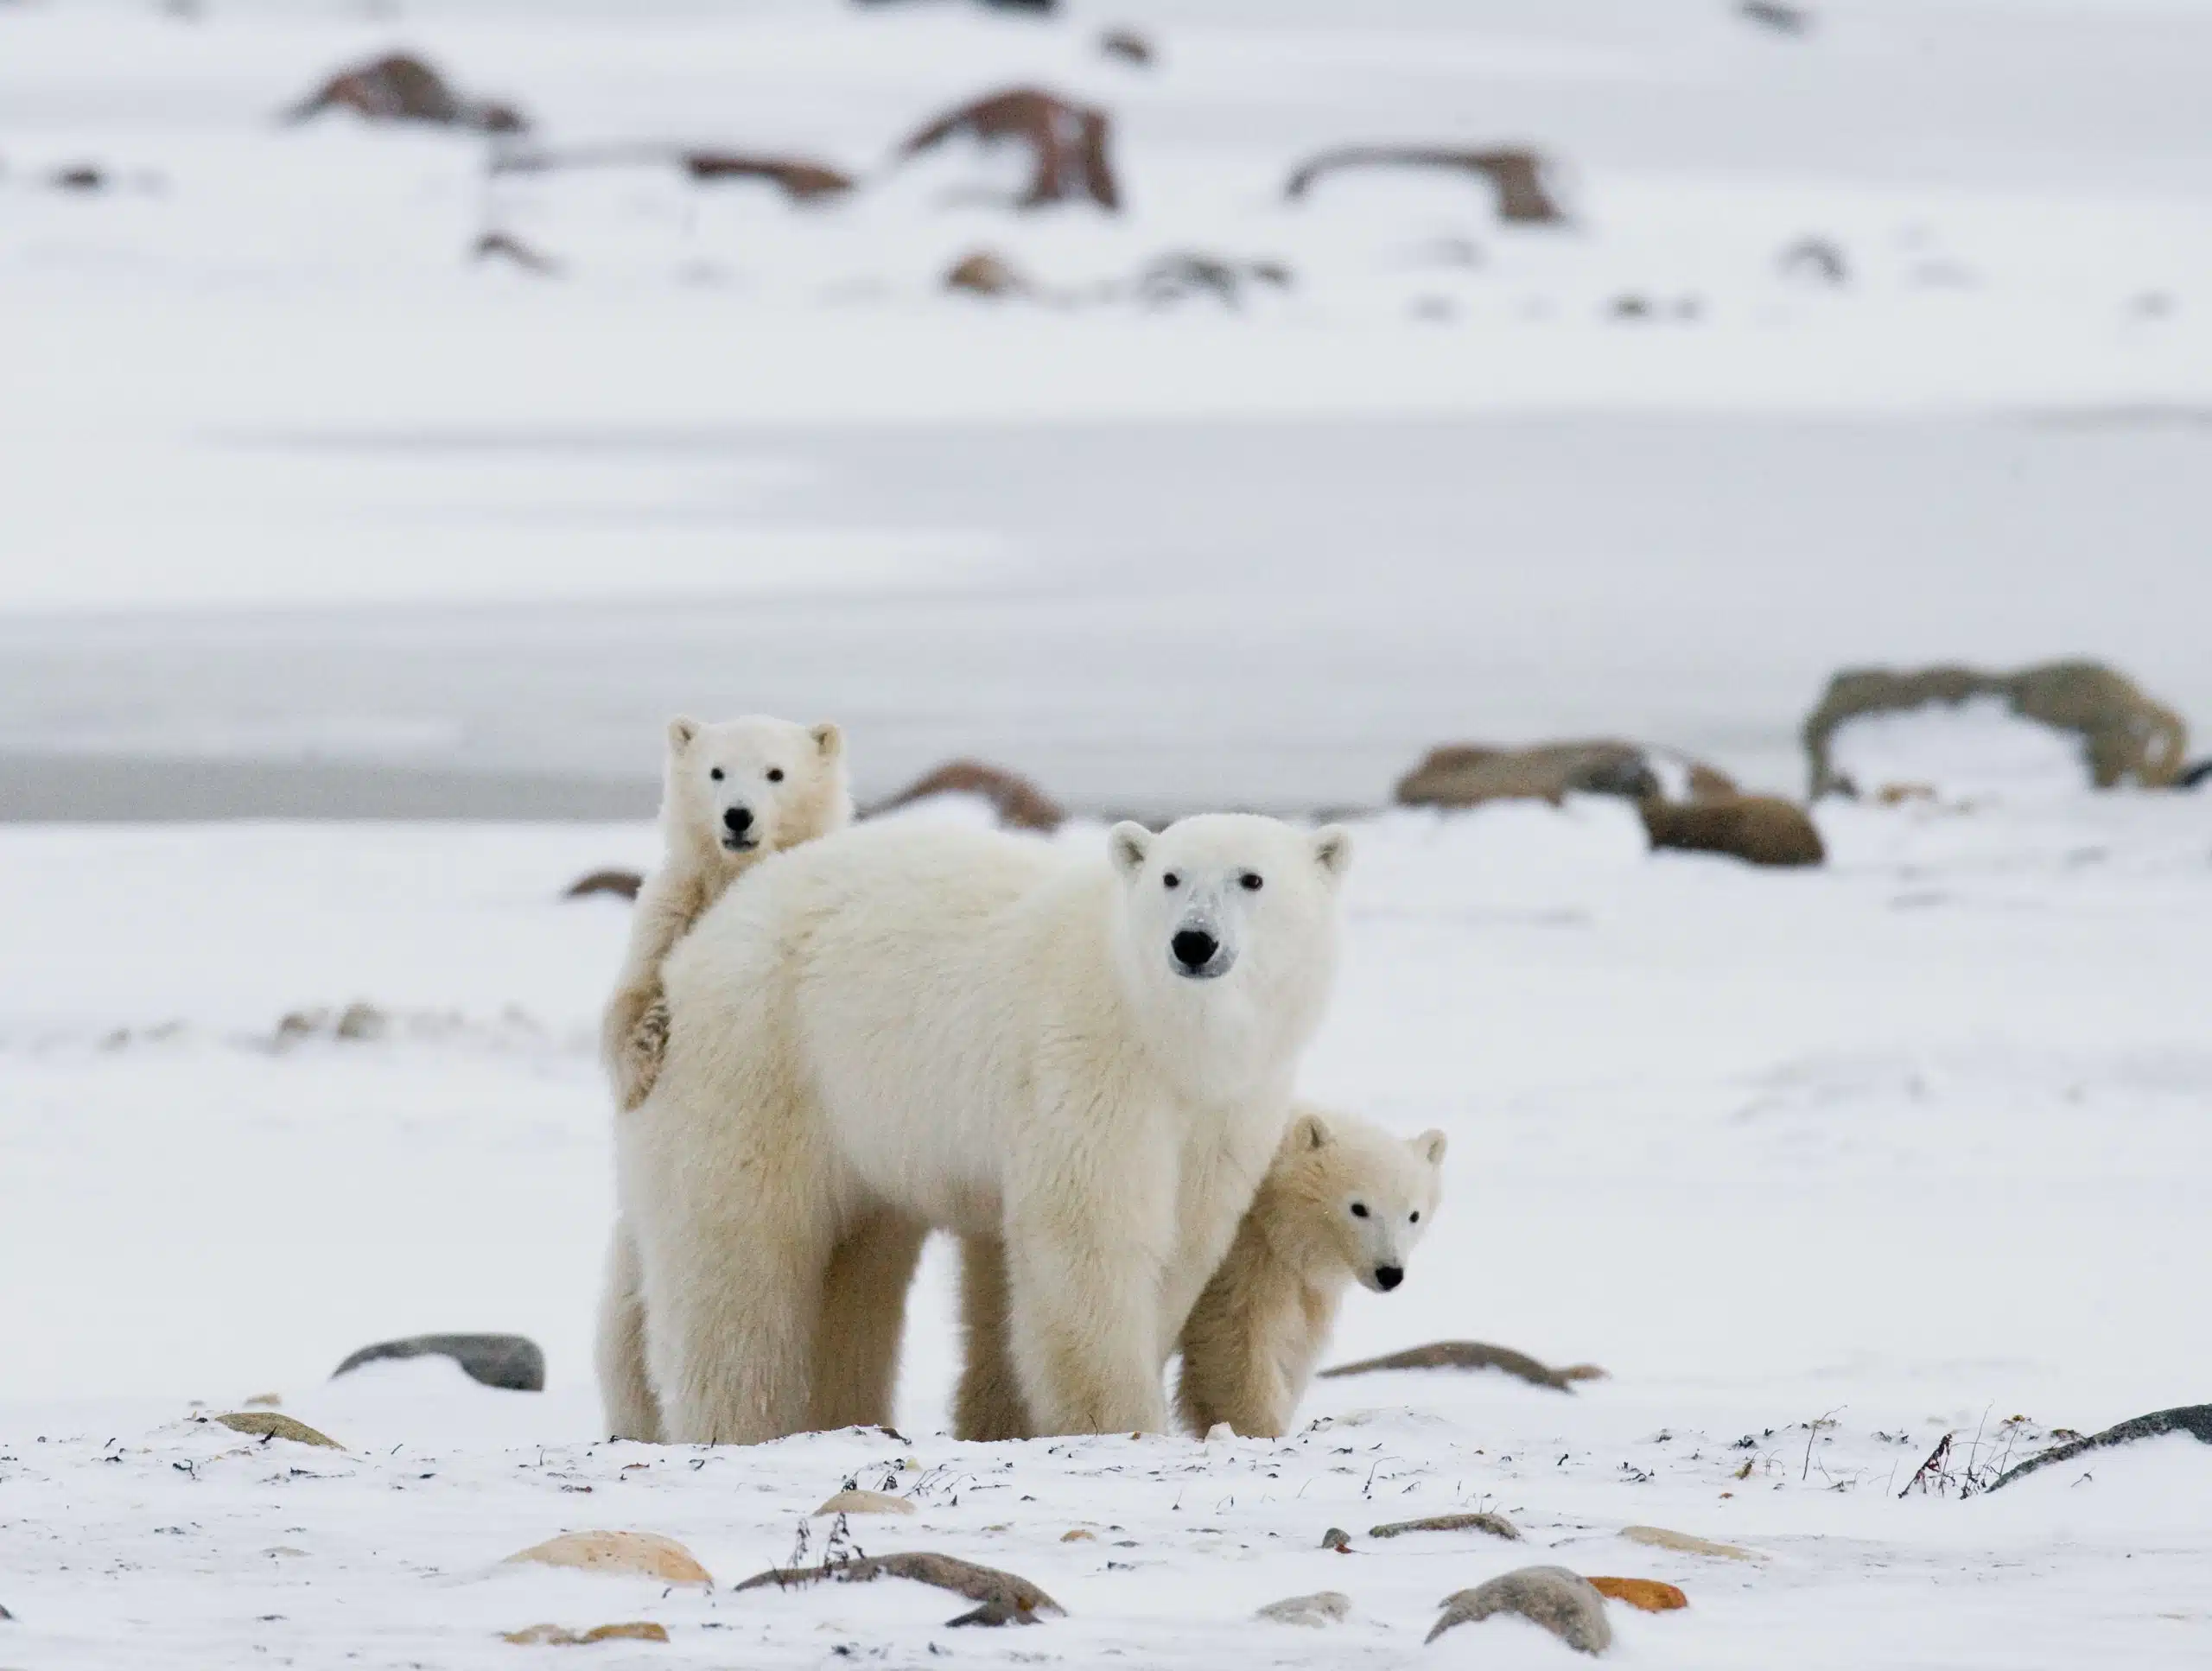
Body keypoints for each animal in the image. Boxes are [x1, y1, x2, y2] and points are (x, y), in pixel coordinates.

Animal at [593, 712, 849, 1444]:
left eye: (775, 772)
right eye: (715, 771)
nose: (737, 816)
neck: (734, 877)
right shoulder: (671, 909)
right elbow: (623, 1002)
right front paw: (646, 1050)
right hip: (632, 1255)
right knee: (625, 1335)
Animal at [615, 811, 1352, 1444]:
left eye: (1252, 878)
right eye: (1171, 877)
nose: (1194, 942)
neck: (1164, 1034)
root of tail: (695, 949)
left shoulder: (1227, 1106)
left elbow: (1187, 1237)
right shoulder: (1087, 1063)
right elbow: (1092, 1235)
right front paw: (1120, 1421)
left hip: (865, 1126)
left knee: (855, 1266)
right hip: (765, 1059)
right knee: (736, 1255)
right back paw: (738, 1421)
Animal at [951, 1107, 1446, 1442]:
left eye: (1413, 1215)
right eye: (1359, 1207)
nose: (1390, 1273)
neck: (1274, 1211)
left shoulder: (1301, 1281)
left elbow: (1292, 1344)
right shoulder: (1245, 1256)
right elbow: (1234, 1343)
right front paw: (1257, 1428)